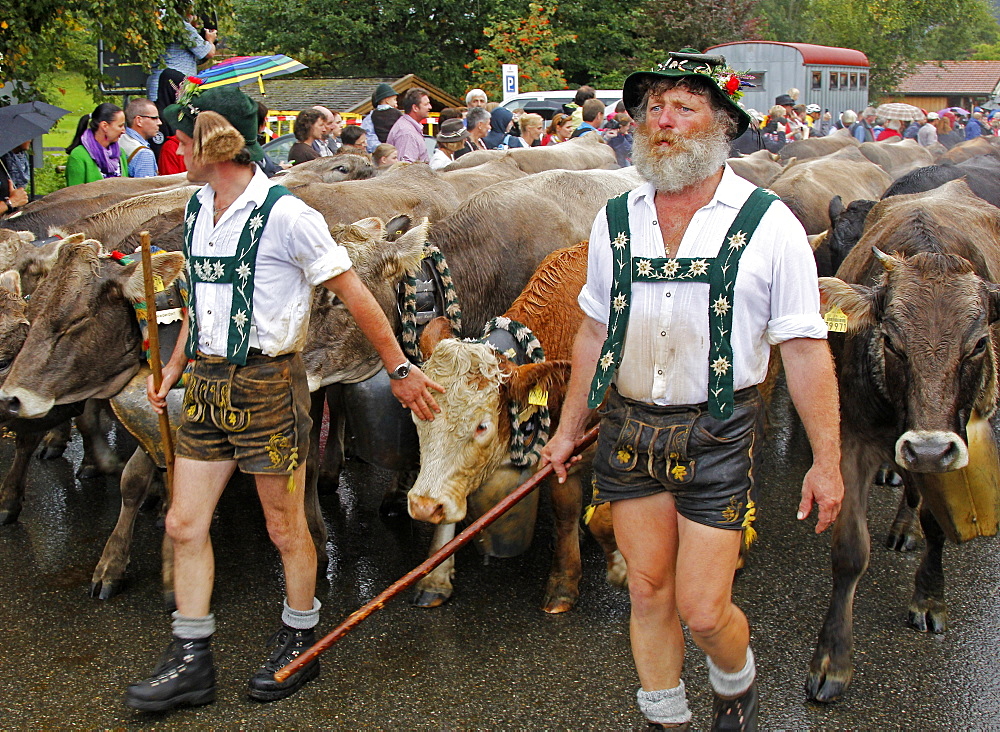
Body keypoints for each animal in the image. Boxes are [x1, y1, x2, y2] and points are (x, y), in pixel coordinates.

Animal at [808, 179, 1000, 704]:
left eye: (978, 344)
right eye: (891, 340)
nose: (928, 448)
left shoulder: (952, 448)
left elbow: (937, 524)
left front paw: (929, 598)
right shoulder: (852, 439)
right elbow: (849, 550)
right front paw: (832, 660)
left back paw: (904, 527)